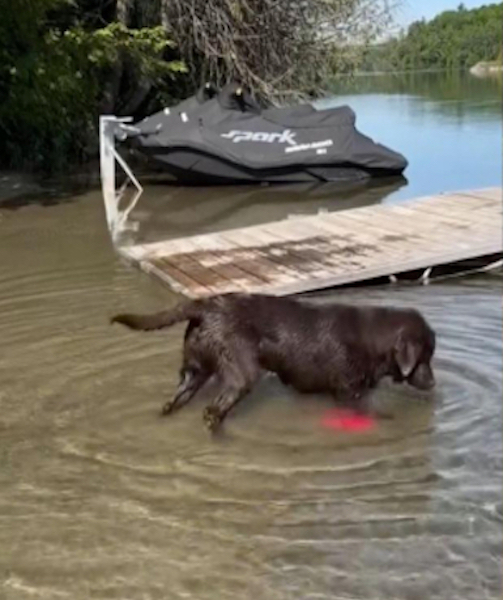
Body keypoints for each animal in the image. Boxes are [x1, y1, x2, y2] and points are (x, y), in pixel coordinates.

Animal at [112, 292, 436, 428]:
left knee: (178, 396)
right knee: (215, 408)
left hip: (196, 366)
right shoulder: (347, 391)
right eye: (424, 357)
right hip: (241, 369)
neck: (372, 338)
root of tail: (204, 306)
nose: (433, 383)